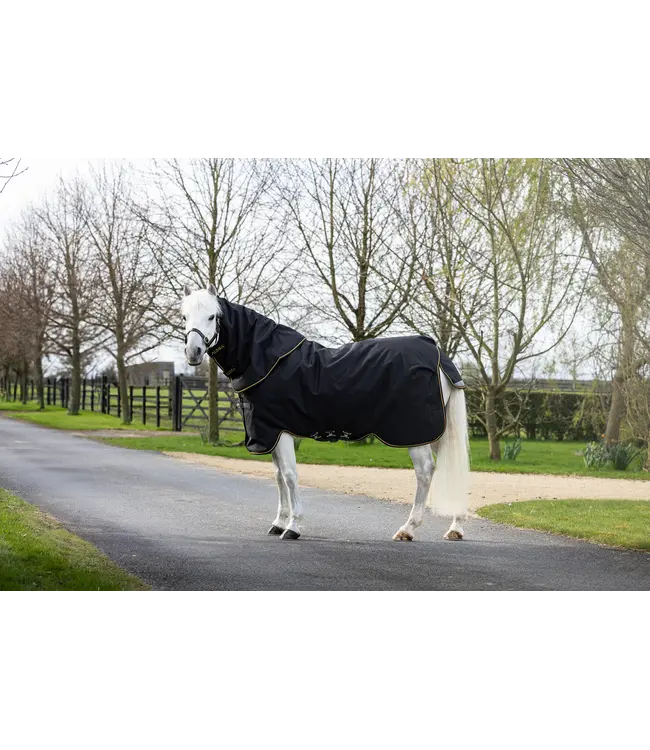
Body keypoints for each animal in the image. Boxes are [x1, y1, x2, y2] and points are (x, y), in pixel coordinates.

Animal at [181, 284, 471, 542]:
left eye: (212, 316)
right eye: (184, 317)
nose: (193, 352)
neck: (268, 361)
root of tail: (437, 354)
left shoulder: (281, 431)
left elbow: (289, 476)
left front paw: (293, 527)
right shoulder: (270, 432)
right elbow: (278, 476)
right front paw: (279, 522)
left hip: (415, 432)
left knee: (425, 472)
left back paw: (408, 529)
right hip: (436, 430)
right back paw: (455, 528)